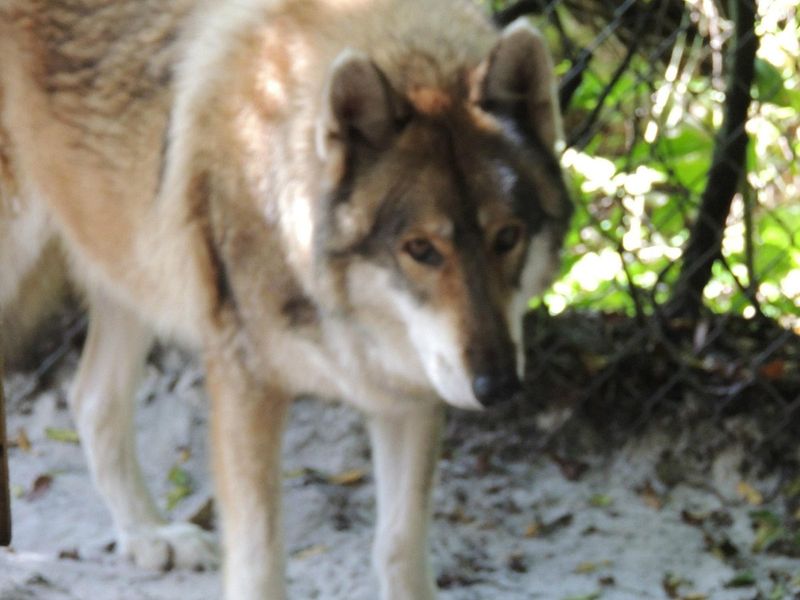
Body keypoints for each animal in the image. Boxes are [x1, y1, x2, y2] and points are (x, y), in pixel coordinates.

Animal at [0, 0, 572, 597]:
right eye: (421, 249)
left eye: (507, 237)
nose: (499, 386)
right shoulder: (245, 381)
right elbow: (260, 559)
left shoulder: (406, 393)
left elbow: (399, 548)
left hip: (129, 264)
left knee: (90, 399)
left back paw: (150, 536)